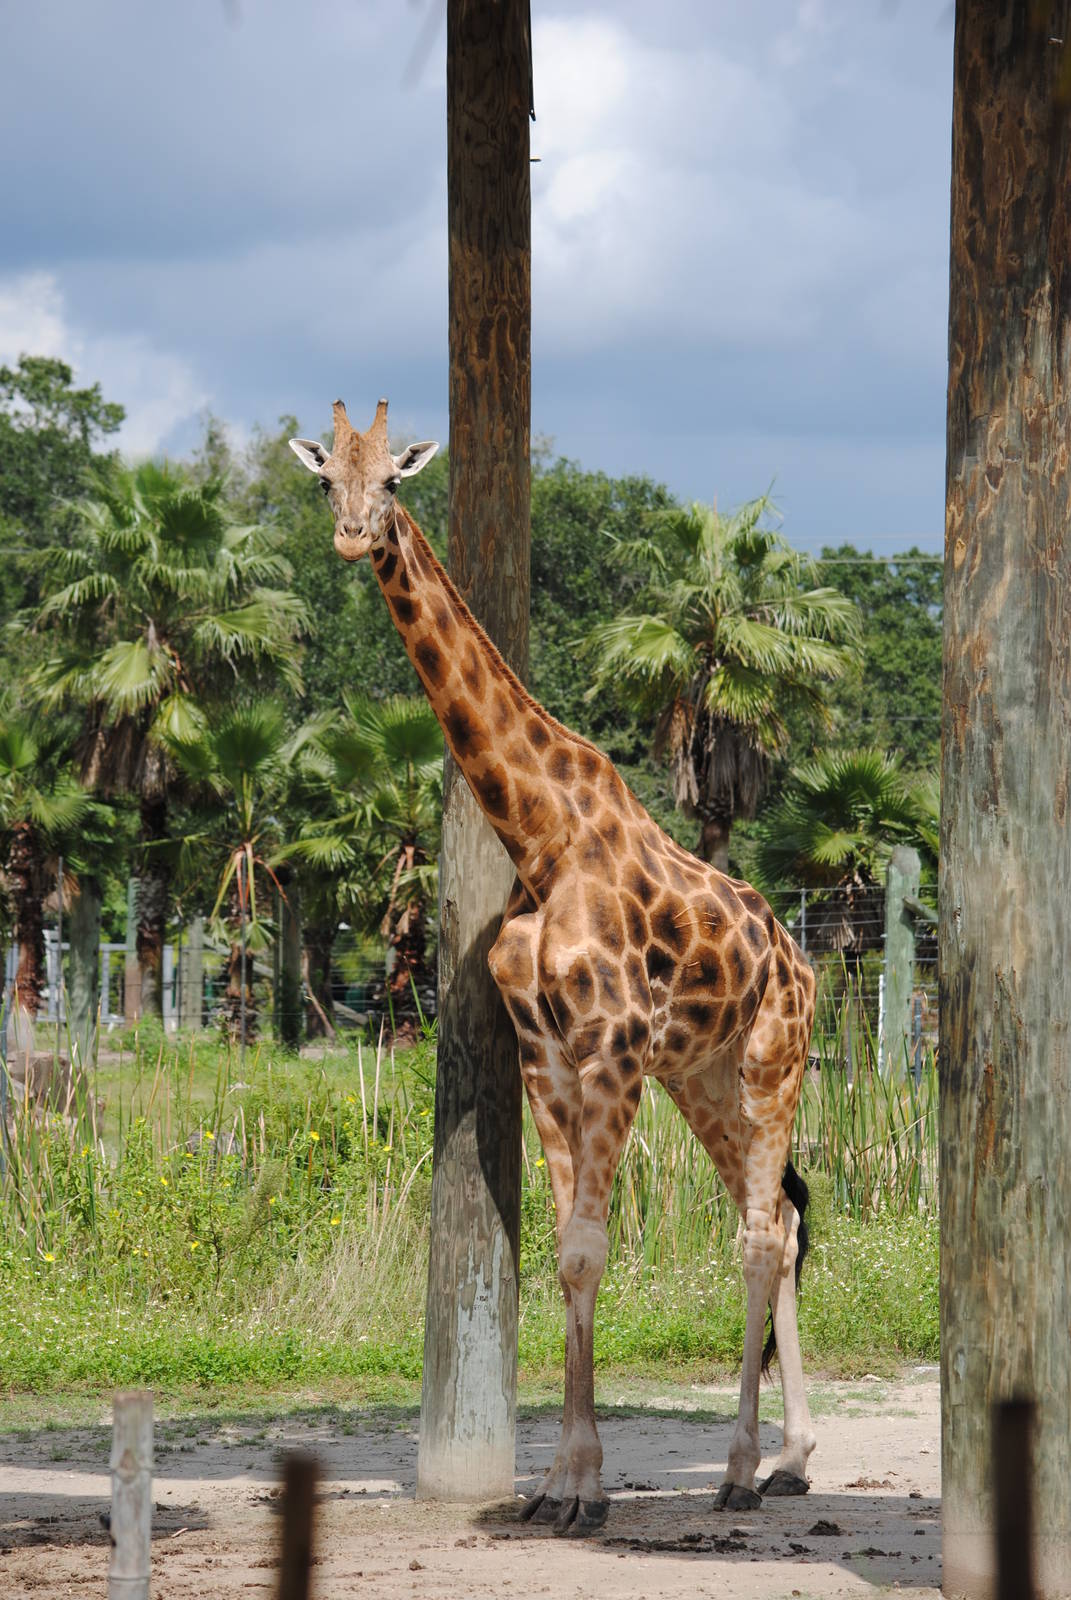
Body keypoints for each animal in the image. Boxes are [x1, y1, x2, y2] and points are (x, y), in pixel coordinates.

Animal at [291, 399, 818, 1533]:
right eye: (325, 479)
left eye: (391, 480)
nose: (353, 536)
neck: (539, 836)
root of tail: (799, 957)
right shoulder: (547, 1053)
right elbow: (567, 1260)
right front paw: (560, 1485)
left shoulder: (609, 1048)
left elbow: (585, 1249)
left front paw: (581, 1491)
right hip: (701, 1076)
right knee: (782, 1220)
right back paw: (793, 1458)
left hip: (770, 1062)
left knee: (759, 1235)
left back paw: (740, 1472)